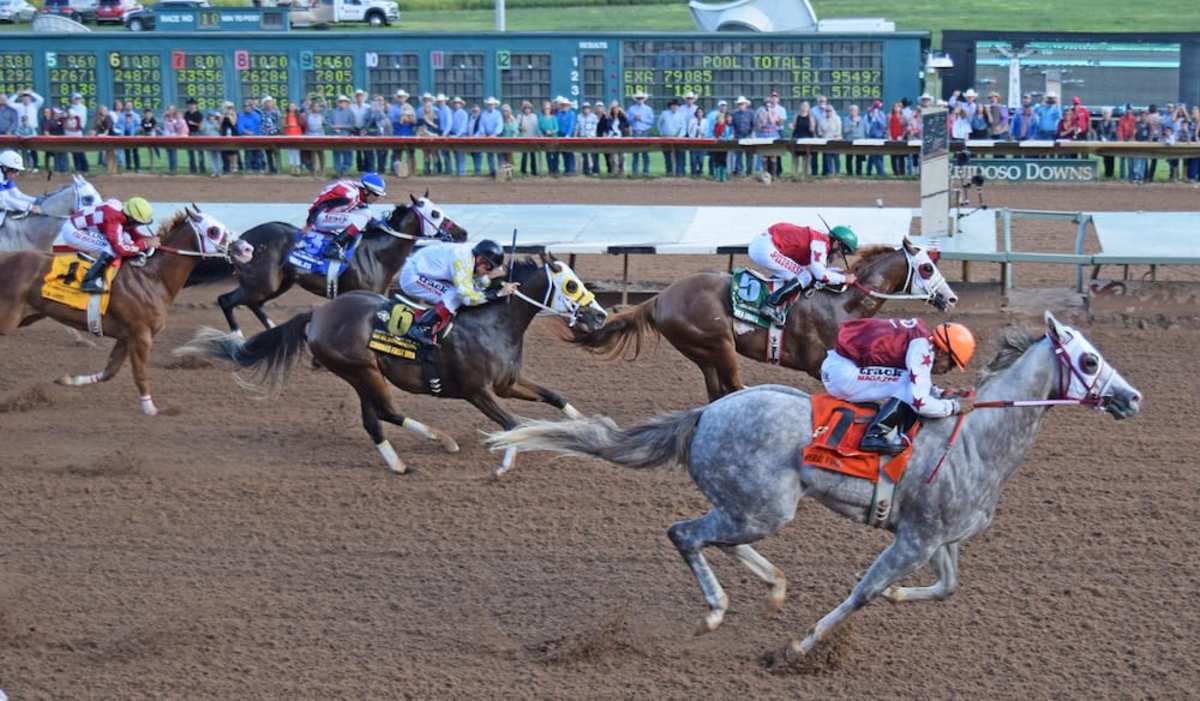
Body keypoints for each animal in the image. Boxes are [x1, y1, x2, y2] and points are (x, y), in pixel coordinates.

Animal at [0, 206, 253, 415]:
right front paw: (150, 408)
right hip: (8, 319)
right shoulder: (141, 335)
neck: (152, 278)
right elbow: (140, 373)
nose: (247, 248)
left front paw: (68, 380)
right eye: (213, 230)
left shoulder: (126, 336)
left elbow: (109, 372)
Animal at [214, 192, 463, 333]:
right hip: (262, 283)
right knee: (227, 300)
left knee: (253, 303)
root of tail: (240, 240)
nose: (462, 232)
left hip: (277, 284)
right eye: (435, 213)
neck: (377, 253)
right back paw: (236, 338)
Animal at [489, 312, 1142, 657]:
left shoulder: (939, 538)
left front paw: (902, 597)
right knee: (685, 534)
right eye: (1088, 362)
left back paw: (772, 585)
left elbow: (946, 587)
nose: (1132, 397)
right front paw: (801, 649)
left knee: (715, 537)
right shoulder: (913, 540)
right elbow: (863, 593)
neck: (979, 438)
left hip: (752, 504)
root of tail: (706, 413)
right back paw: (715, 611)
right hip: (765, 506)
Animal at [571, 237, 955, 400]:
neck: (844, 303)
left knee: (718, 392)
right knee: (733, 387)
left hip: (702, 353)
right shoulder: (820, 363)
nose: (950, 298)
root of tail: (660, 298)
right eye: (926, 267)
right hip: (718, 343)